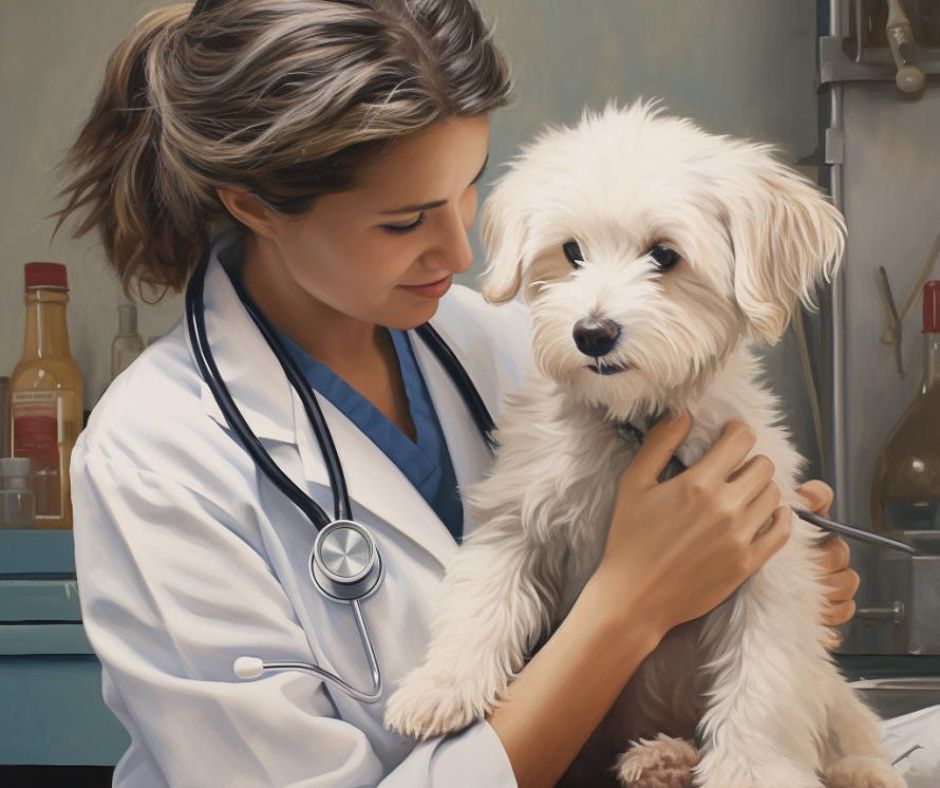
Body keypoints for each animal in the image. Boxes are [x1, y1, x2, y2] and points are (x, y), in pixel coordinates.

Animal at [384, 103, 904, 788]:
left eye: (665, 255)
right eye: (571, 251)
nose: (591, 333)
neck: (636, 425)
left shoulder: (772, 566)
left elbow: (761, 682)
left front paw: (750, 772)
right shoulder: (517, 516)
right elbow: (483, 599)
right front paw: (440, 688)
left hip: (826, 687)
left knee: (847, 720)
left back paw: (853, 769)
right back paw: (663, 758)